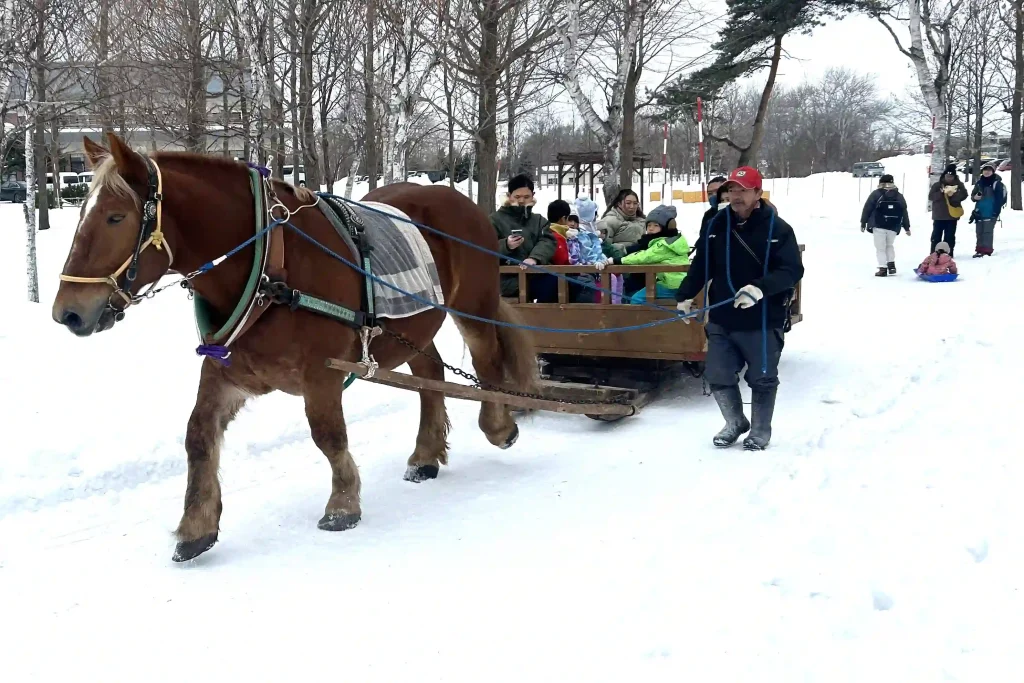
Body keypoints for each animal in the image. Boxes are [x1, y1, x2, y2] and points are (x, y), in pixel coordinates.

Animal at [51, 133, 536, 561]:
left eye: (116, 217)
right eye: (82, 214)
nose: (66, 313)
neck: (271, 264)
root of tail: (458, 200)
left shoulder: (322, 372)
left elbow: (327, 434)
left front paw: (342, 504)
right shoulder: (227, 372)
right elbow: (198, 436)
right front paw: (196, 525)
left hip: (473, 306)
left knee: (486, 360)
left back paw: (498, 424)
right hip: (411, 329)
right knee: (431, 374)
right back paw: (425, 455)